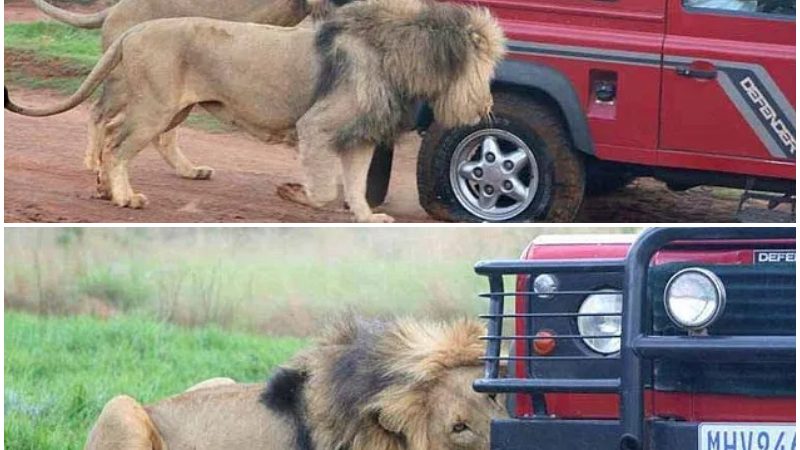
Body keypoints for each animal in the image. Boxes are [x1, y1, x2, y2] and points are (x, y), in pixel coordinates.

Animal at [6, 0, 504, 223]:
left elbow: (356, 184)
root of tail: (134, 29)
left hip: (167, 107)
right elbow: (325, 188)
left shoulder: (360, 135)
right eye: (482, 65)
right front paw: (294, 193)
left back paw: (110, 187)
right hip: (152, 106)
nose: (486, 105)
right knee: (115, 142)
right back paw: (124, 195)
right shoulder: (317, 125)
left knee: (119, 135)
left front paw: (366, 217)